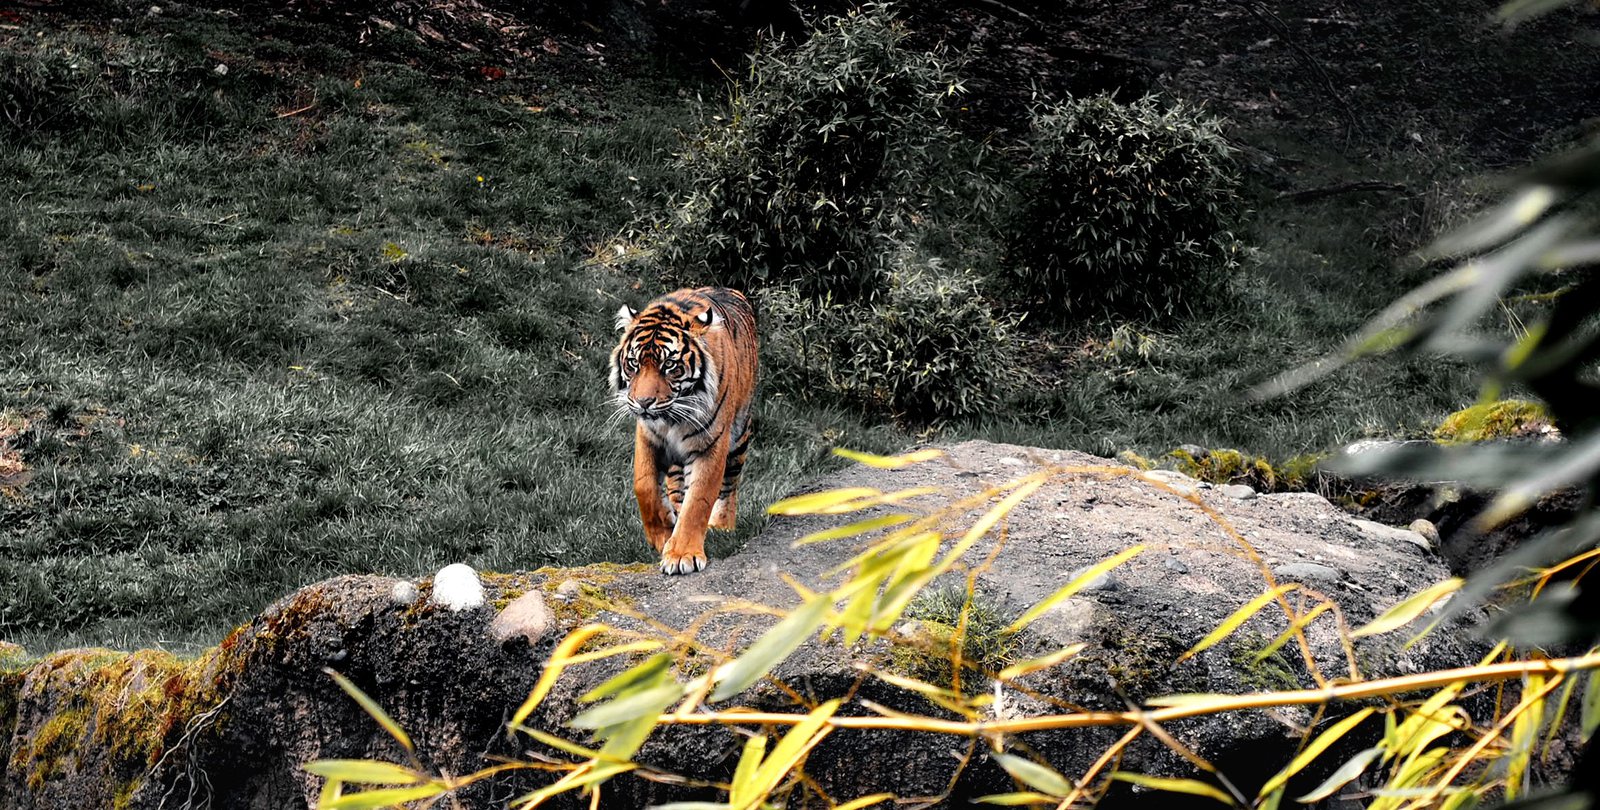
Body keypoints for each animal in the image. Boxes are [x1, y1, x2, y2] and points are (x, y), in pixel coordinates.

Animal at [608, 287, 758, 575]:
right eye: (633, 363)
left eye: (669, 365)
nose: (643, 402)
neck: (672, 419)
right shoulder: (648, 437)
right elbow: (644, 486)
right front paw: (663, 534)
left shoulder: (711, 445)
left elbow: (699, 500)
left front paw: (681, 555)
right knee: (677, 486)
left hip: (739, 436)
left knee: (729, 485)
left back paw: (722, 525)